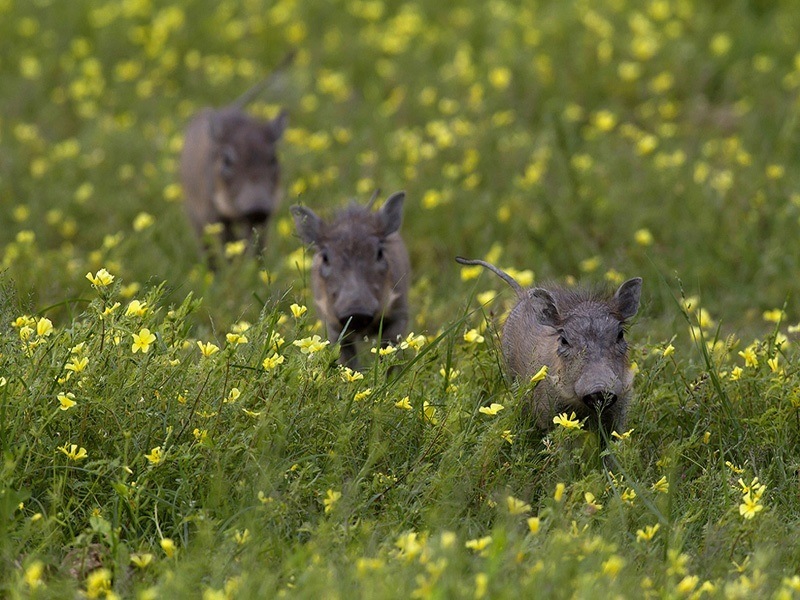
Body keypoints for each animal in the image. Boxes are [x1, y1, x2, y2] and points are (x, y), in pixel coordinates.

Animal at [180, 90, 288, 254]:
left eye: (273, 158)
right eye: (227, 159)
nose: (257, 208)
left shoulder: (263, 220)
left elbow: (256, 247)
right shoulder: (214, 217)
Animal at [291, 191, 411, 369]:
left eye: (380, 252)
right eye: (325, 257)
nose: (356, 311)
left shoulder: (398, 317)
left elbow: (389, 359)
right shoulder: (334, 328)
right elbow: (347, 362)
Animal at [455, 257, 642, 436]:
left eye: (620, 334)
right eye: (564, 340)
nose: (600, 389)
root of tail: (524, 293)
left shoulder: (618, 413)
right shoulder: (549, 413)